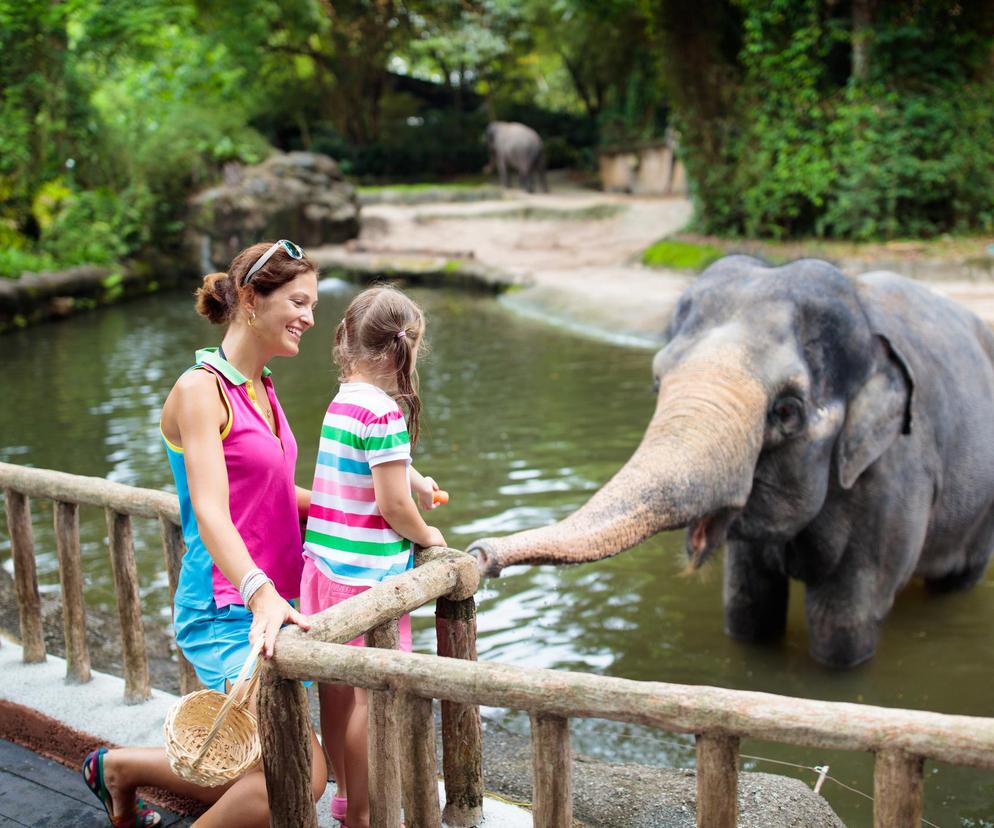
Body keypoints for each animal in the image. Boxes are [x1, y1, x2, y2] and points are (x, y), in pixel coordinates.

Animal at [468, 256, 992, 668]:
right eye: (657, 382)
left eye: (787, 411)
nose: (481, 554)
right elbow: (747, 607)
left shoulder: (893, 479)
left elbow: (844, 624)